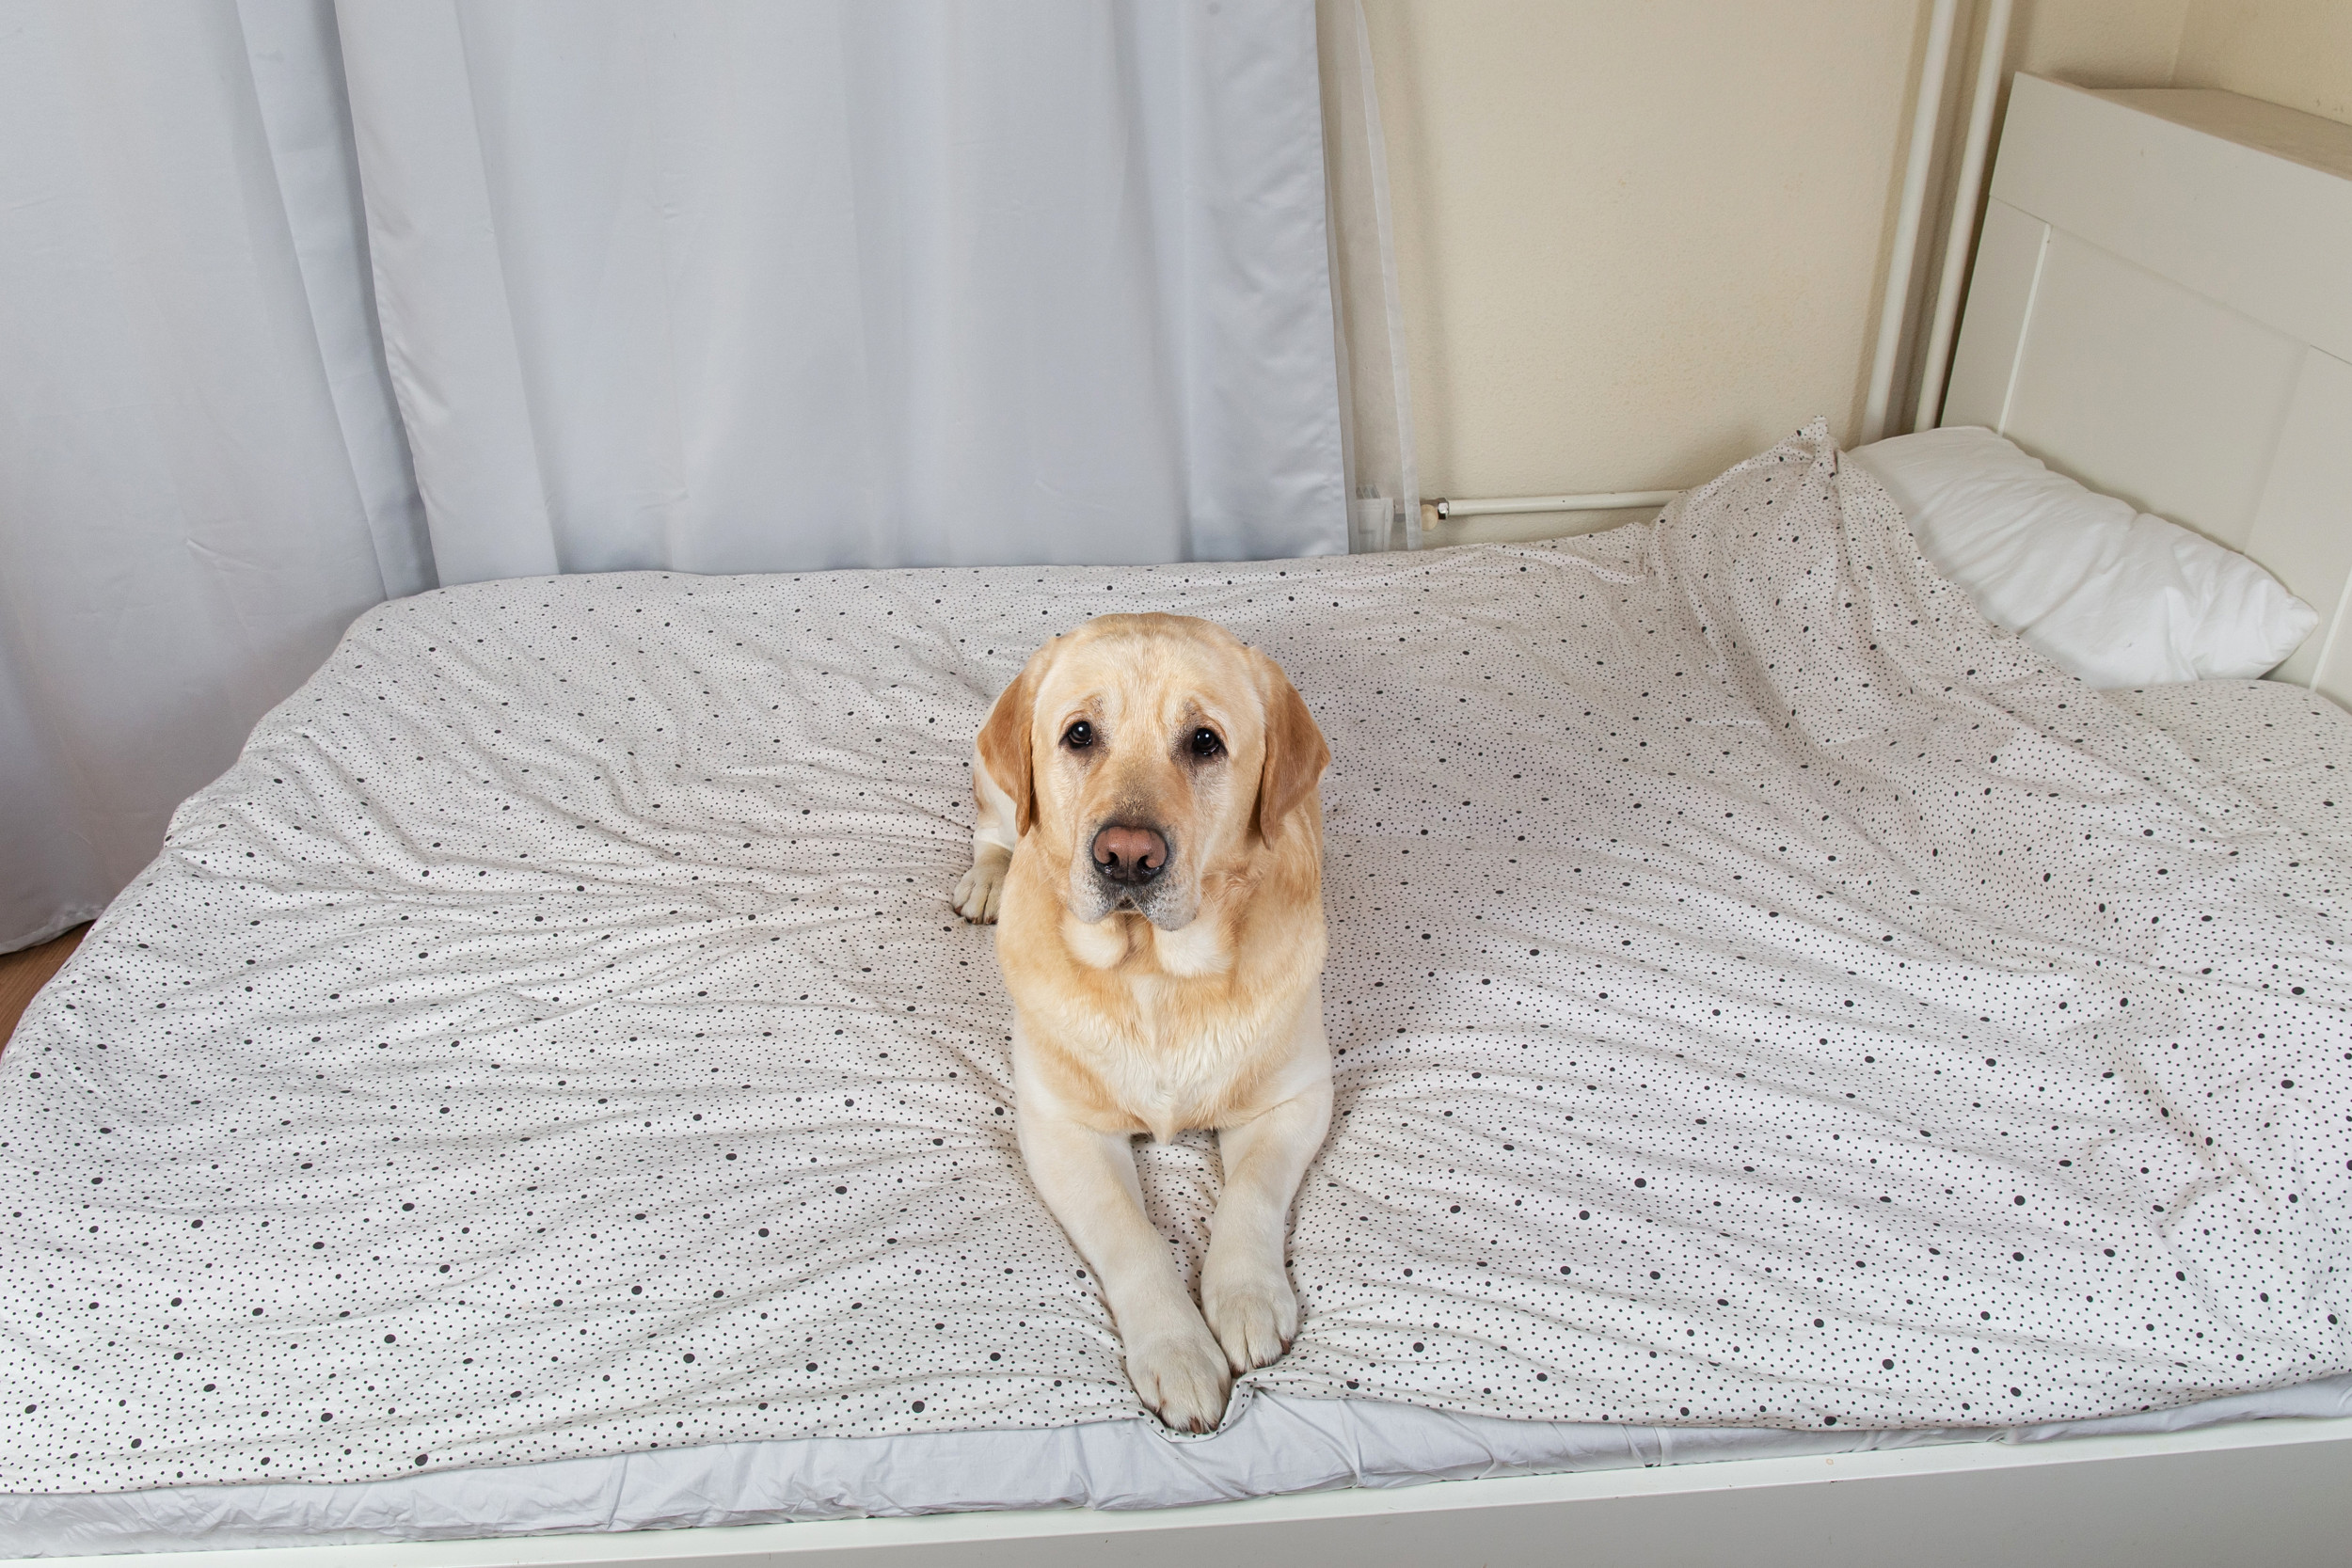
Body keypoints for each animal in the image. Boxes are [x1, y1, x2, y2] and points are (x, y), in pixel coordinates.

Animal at [950, 610, 1327, 1438]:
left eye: (1205, 741)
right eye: (1080, 734)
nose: (1127, 855)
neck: (1152, 973)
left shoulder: (1294, 1100)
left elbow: (1250, 1195)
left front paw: (1245, 1297)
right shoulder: (1062, 1131)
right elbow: (1132, 1235)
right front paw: (1179, 1350)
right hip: (992, 779)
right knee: (995, 827)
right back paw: (987, 878)